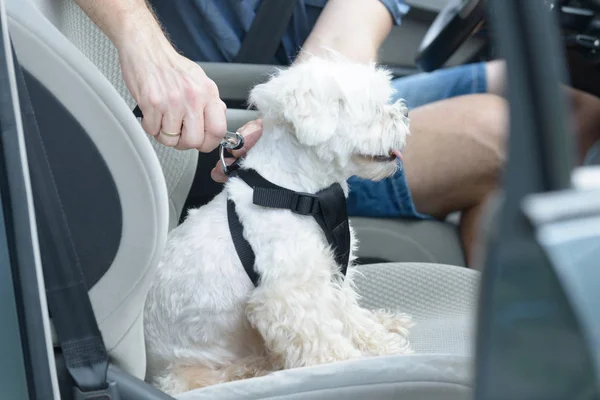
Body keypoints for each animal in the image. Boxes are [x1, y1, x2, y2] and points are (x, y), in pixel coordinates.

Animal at [145, 54, 414, 396]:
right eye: (374, 108)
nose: (405, 112)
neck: (298, 193)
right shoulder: (288, 297)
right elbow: (323, 341)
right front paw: (351, 364)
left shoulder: (330, 277)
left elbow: (352, 318)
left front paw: (382, 344)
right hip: (186, 374)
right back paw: (257, 367)